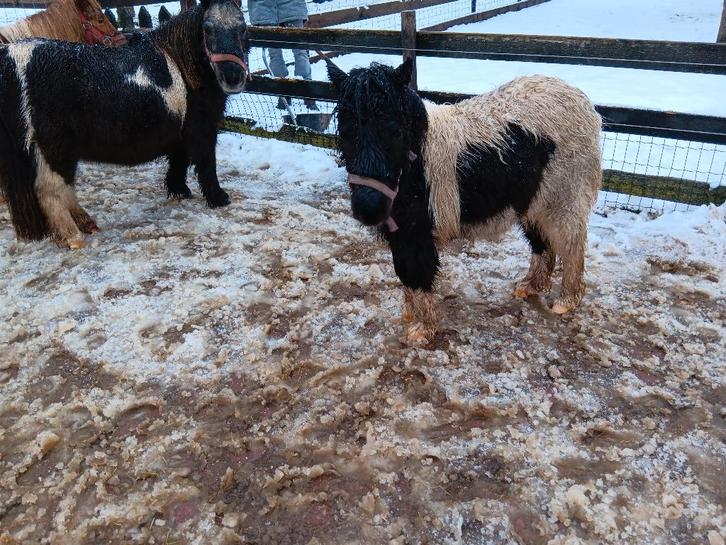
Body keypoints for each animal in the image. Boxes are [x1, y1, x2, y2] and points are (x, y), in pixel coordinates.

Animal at [0, 0, 249, 249]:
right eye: (207, 29)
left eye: (243, 28)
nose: (233, 77)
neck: (184, 66)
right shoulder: (202, 129)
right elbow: (206, 164)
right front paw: (219, 198)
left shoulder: (183, 132)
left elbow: (179, 160)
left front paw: (178, 190)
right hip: (54, 149)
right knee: (50, 189)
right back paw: (73, 236)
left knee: (63, 187)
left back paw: (86, 223)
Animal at [327, 60, 602, 346]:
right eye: (346, 131)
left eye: (394, 131)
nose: (368, 209)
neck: (416, 162)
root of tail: (581, 99)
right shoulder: (400, 234)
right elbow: (404, 273)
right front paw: (408, 316)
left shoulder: (417, 235)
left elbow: (418, 274)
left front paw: (422, 330)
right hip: (534, 202)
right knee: (542, 243)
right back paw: (530, 287)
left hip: (563, 201)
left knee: (571, 246)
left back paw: (566, 301)